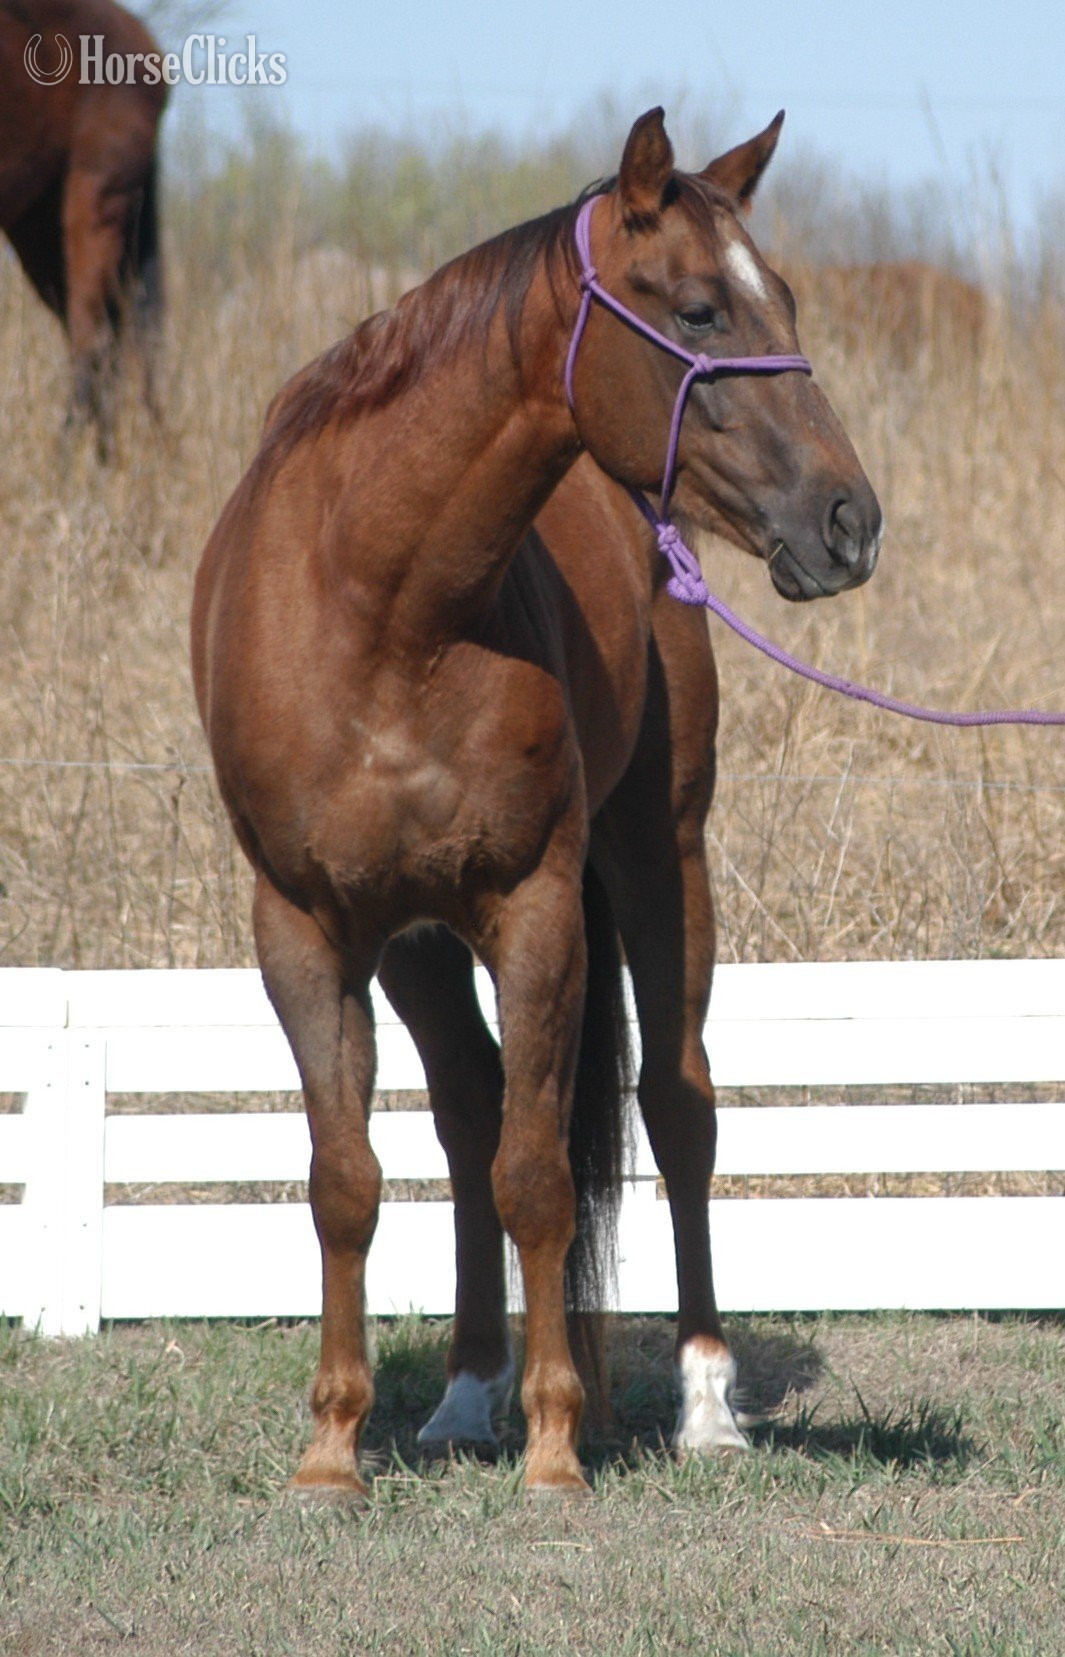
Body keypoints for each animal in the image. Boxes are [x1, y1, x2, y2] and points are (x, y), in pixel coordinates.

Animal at [192, 109, 883, 1497]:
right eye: (698, 309)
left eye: (781, 296)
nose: (850, 520)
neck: (378, 605)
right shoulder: (305, 927)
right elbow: (348, 1178)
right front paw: (333, 1447)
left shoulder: (538, 905)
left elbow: (540, 1171)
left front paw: (557, 1440)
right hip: (414, 938)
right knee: (466, 1109)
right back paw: (465, 1396)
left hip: (662, 857)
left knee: (675, 1106)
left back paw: (702, 1404)